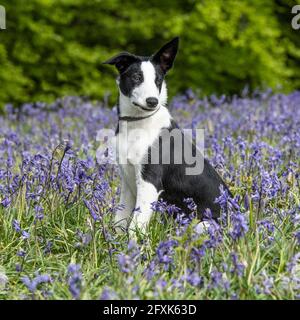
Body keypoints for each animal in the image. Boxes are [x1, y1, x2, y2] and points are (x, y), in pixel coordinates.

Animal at [103, 37, 230, 236]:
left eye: (158, 80)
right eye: (137, 77)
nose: (152, 101)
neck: (136, 123)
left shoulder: (149, 182)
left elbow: (135, 225)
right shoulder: (128, 183)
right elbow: (120, 220)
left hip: (202, 225)